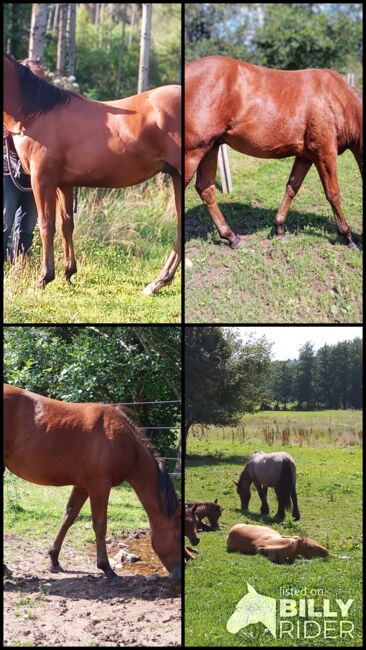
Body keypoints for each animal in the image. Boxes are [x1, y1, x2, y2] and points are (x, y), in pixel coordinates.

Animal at [2, 54, 180, 292]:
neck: (35, 113)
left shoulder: (42, 179)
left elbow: (47, 225)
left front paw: (44, 278)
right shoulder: (64, 184)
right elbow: (66, 224)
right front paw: (68, 272)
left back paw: (159, 282)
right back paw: (160, 281)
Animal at [2, 382, 180, 580]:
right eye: (180, 535)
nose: (180, 573)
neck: (120, 438)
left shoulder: (81, 487)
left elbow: (68, 517)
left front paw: (54, 559)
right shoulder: (99, 487)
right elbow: (100, 525)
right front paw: (106, 567)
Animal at [186, 55, 364, 247]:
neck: (336, 99)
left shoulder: (305, 156)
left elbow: (292, 187)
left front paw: (279, 228)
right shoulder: (325, 154)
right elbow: (333, 194)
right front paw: (347, 235)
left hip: (210, 148)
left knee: (206, 189)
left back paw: (231, 237)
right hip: (192, 154)